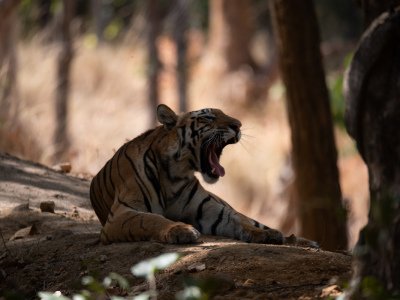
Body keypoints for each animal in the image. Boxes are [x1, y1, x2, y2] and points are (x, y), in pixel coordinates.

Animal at [89, 104, 318, 247]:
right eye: (208, 117)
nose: (238, 125)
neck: (174, 175)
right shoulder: (123, 213)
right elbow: (152, 220)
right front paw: (181, 230)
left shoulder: (213, 212)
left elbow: (241, 223)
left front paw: (267, 235)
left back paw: (303, 241)